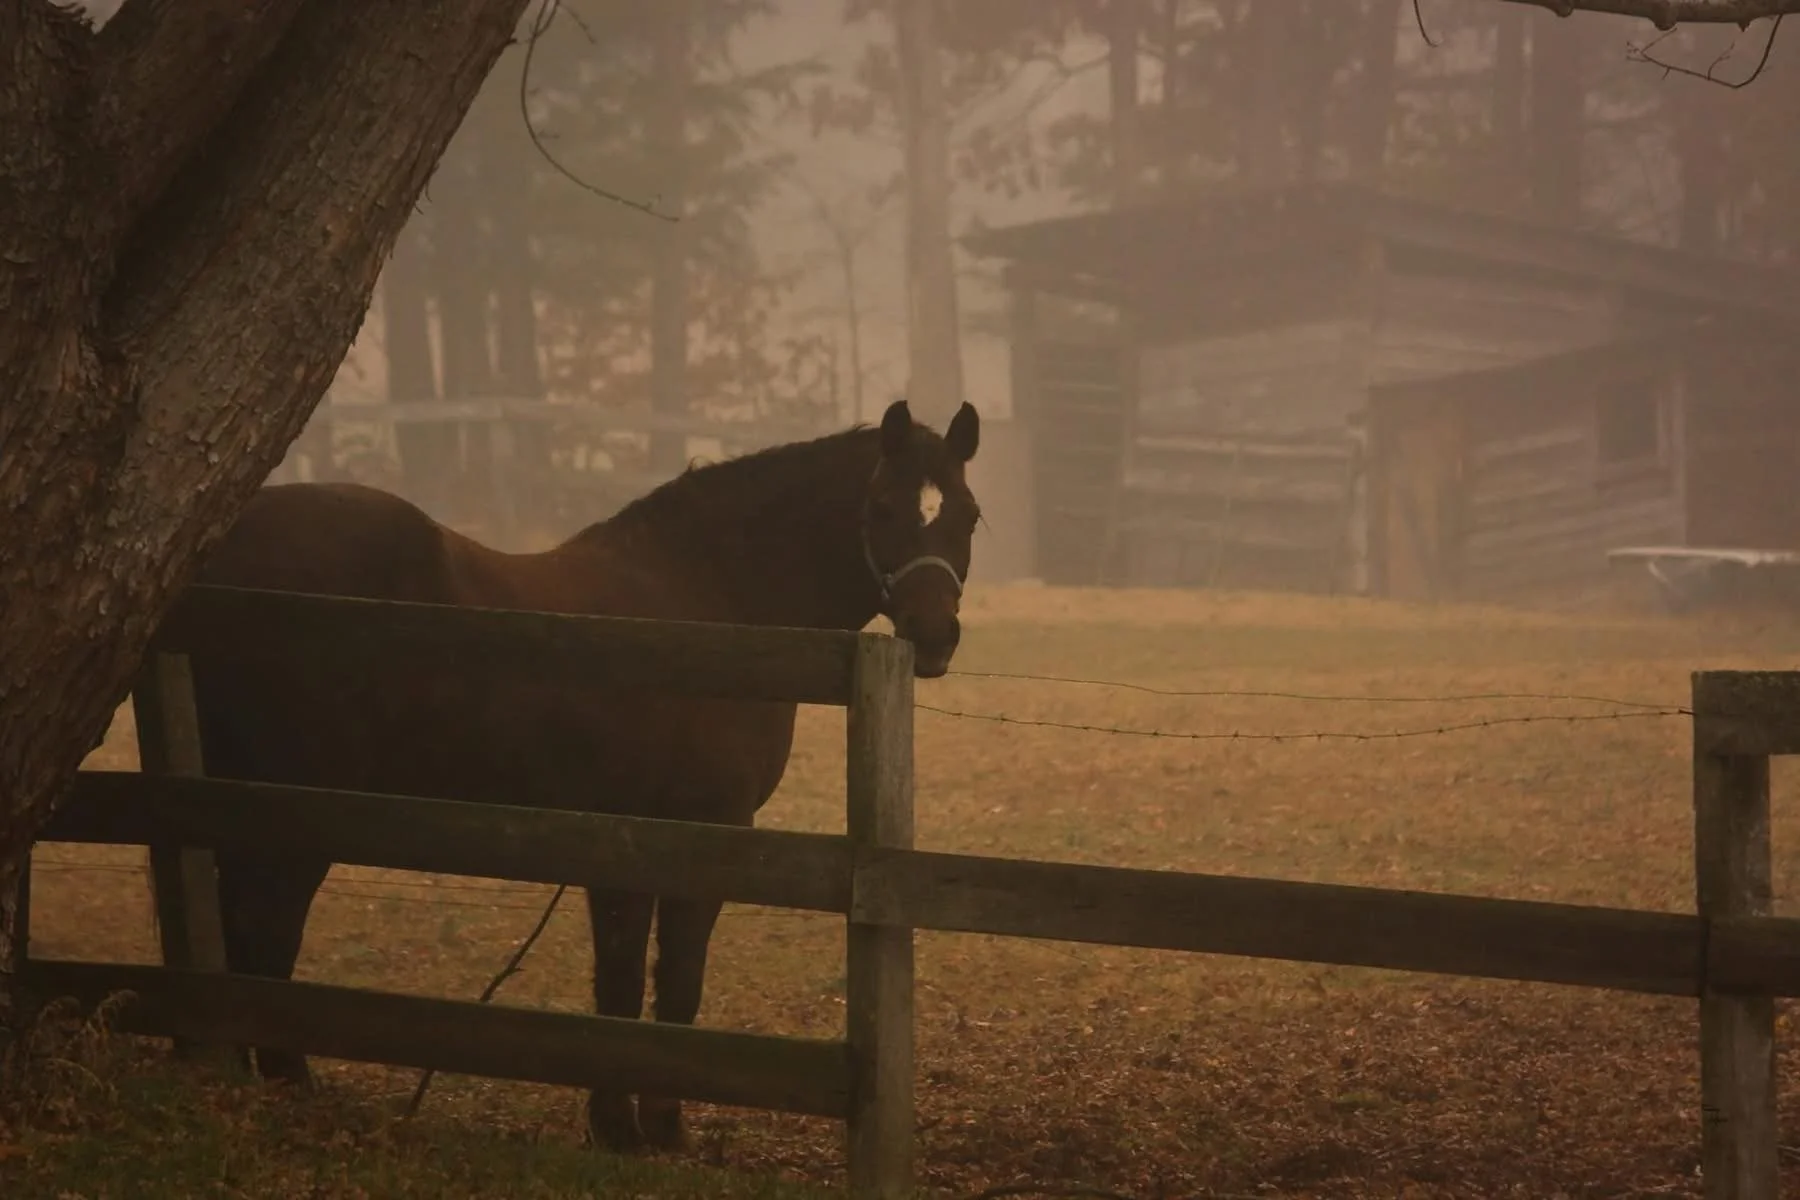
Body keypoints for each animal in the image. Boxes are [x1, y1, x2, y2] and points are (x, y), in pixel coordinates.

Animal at [178, 397, 982, 1151]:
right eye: (883, 509)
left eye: (968, 516)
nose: (934, 635)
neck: (708, 602)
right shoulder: (702, 830)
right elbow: (668, 983)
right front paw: (649, 1129)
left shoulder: (623, 844)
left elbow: (620, 984)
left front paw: (616, 1125)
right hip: (295, 811)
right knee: (266, 932)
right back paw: (289, 1084)